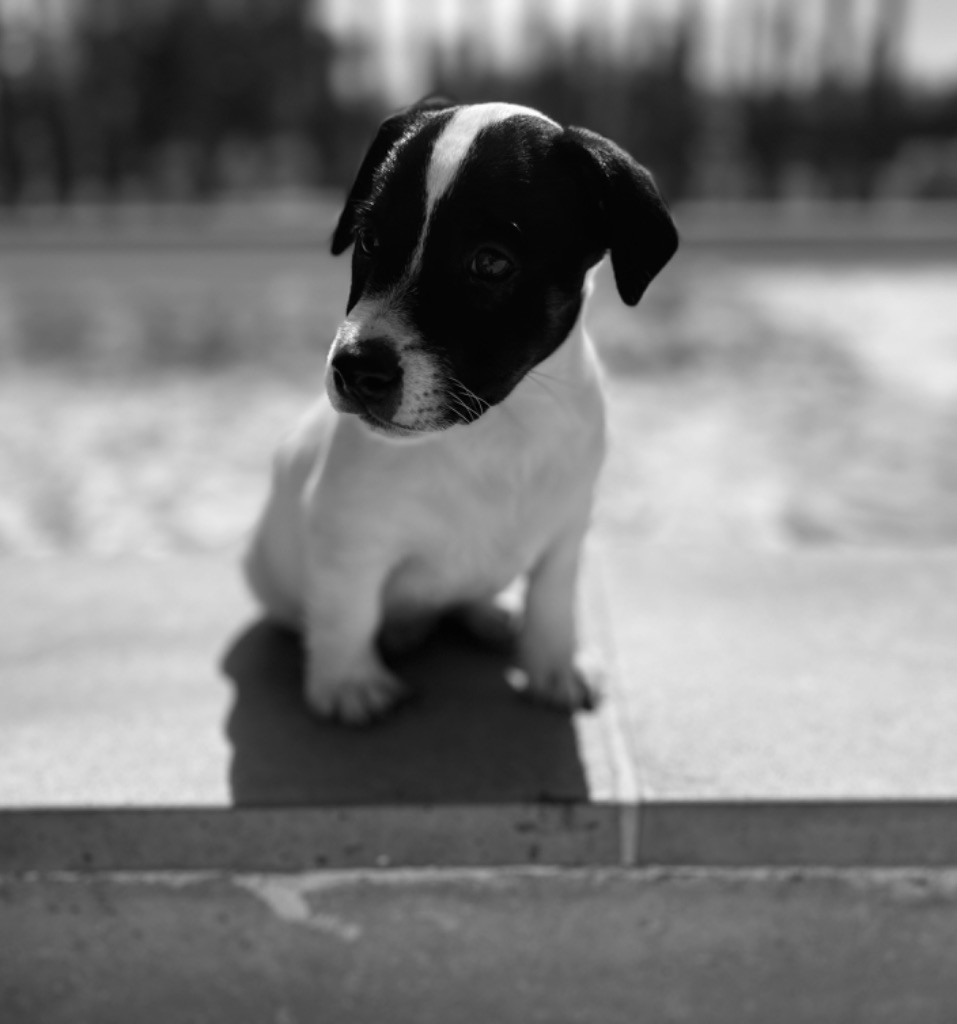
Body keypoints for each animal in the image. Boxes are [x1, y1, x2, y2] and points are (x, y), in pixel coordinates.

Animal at [246, 94, 679, 720]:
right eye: (369, 240)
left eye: (491, 264)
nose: (354, 368)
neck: (498, 427)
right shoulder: (350, 535)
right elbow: (347, 608)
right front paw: (349, 680)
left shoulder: (566, 529)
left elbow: (552, 600)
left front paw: (555, 665)